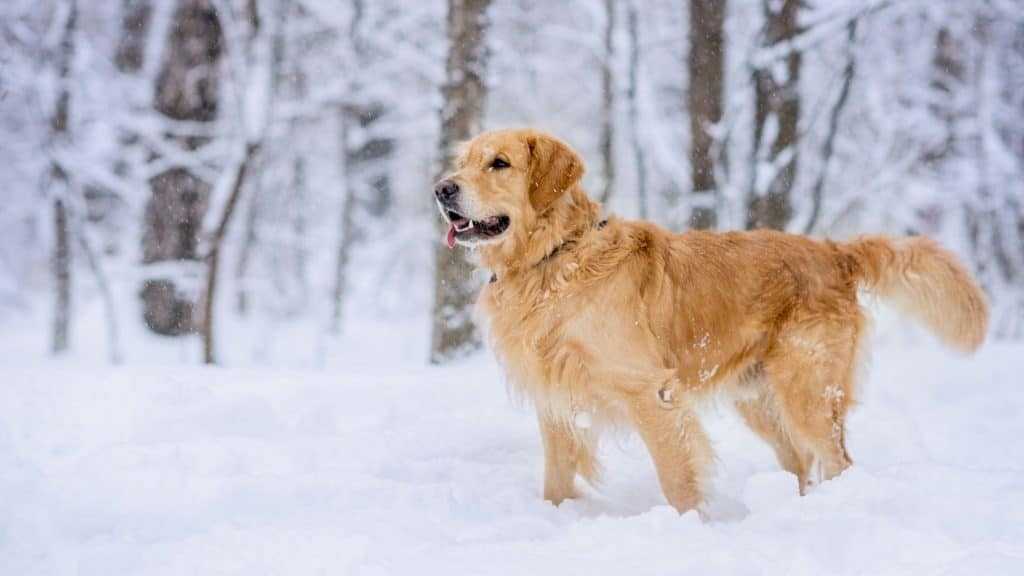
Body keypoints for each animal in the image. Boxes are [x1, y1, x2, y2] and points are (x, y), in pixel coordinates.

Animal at [434, 129, 991, 510]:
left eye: (499, 163)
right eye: (462, 163)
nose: (441, 189)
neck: (554, 257)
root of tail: (835, 252)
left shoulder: (651, 392)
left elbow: (678, 479)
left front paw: (689, 528)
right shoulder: (555, 398)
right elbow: (555, 481)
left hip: (807, 391)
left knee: (837, 462)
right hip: (763, 401)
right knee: (803, 464)